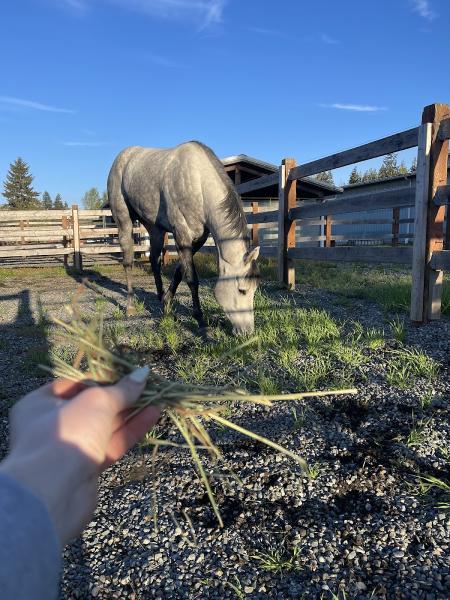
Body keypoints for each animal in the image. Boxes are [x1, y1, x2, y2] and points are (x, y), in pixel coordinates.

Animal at [107, 143, 260, 336]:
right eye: (242, 290)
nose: (247, 332)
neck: (198, 183)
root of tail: (122, 156)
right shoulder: (182, 234)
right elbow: (192, 279)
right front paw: (201, 322)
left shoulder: (198, 239)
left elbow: (180, 271)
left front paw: (166, 304)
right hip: (124, 221)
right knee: (128, 262)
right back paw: (130, 307)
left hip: (155, 229)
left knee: (154, 260)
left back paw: (159, 298)